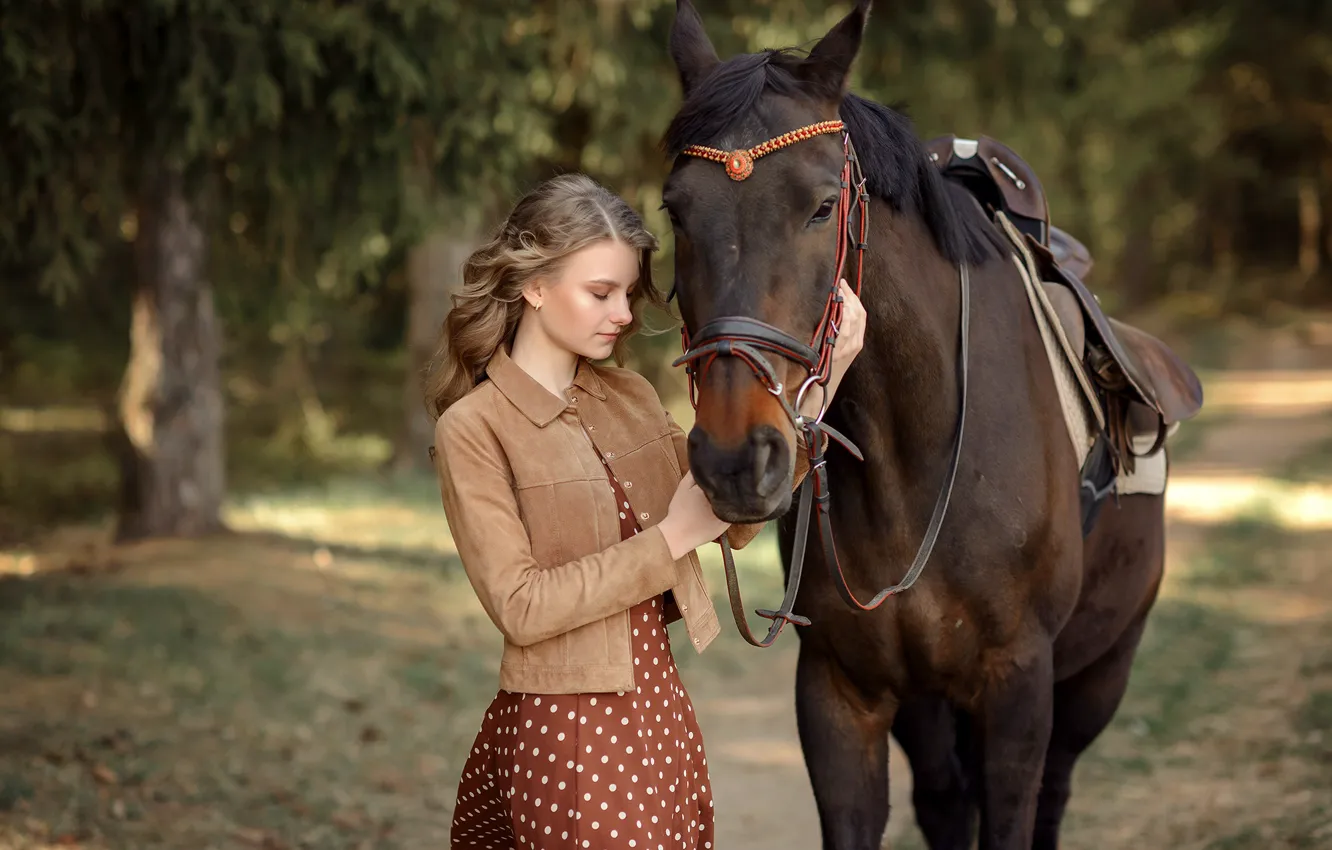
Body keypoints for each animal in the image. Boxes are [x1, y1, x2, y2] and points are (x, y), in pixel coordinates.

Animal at [659, 2, 1202, 848]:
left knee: (1053, 793)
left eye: (822, 206)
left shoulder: (1020, 688)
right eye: (675, 210)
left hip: (1096, 678)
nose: (734, 460)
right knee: (946, 799)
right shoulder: (839, 694)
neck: (912, 460)